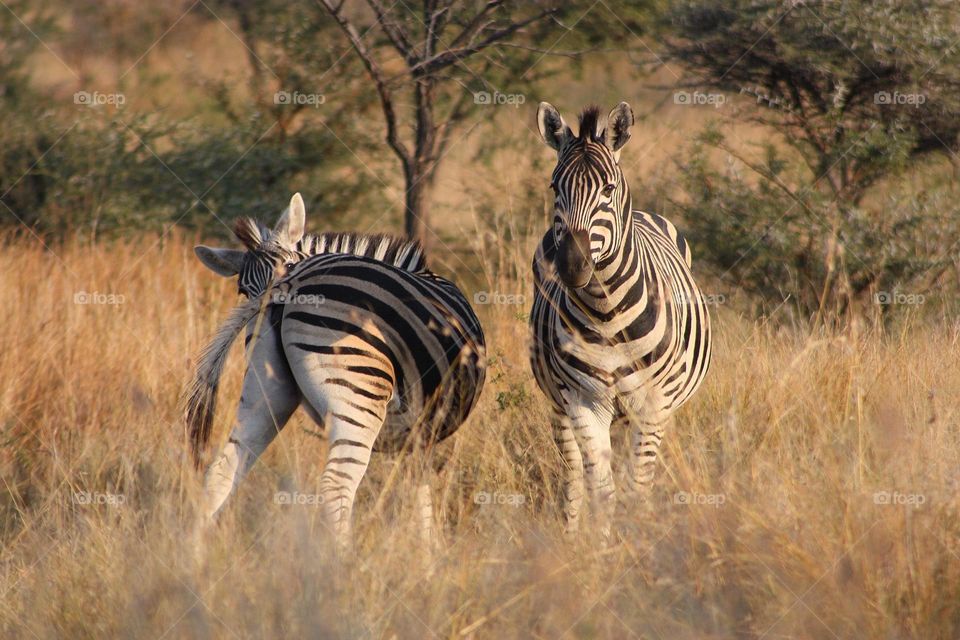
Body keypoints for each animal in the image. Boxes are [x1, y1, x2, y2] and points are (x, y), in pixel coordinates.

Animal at [186, 193, 486, 546]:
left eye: (289, 263)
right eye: (243, 291)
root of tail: (284, 292)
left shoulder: (416, 433)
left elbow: (415, 488)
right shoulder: (424, 428)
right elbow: (420, 490)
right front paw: (428, 551)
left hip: (264, 392)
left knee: (221, 470)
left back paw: (195, 555)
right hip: (358, 396)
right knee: (336, 486)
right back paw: (346, 560)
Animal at [530, 103, 712, 535]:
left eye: (608, 190)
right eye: (554, 188)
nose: (571, 267)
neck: (605, 312)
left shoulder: (653, 403)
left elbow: (635, 491)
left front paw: (636, 543)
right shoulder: (582, 399)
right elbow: (602, 492)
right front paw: (601, 547)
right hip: (557, 403)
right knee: (572, 476)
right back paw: (570, 534)